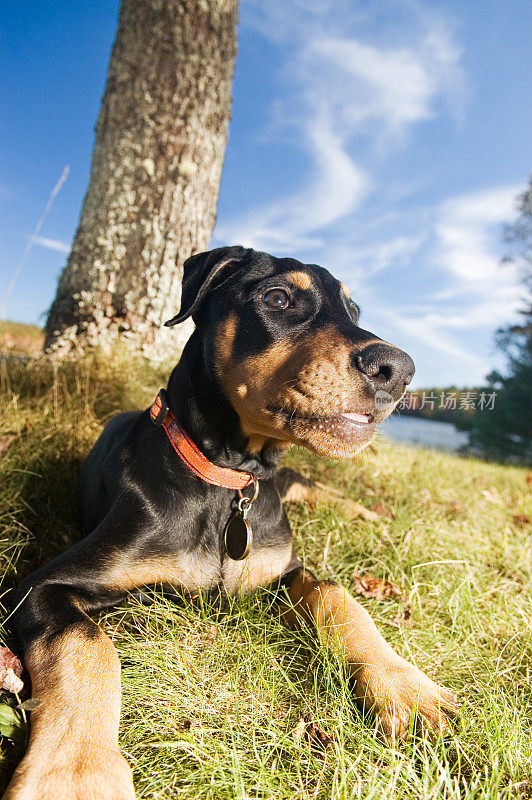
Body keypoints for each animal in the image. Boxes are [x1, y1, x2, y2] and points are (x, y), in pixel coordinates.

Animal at [4, 247, 456, 796]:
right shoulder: (45, 586)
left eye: (354, 311)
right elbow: (87, 649)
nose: (398, 370)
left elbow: (336, 595)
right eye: (277, 298)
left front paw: (408, 690)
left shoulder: (282, 567)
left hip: (296, 484)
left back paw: (383, 519)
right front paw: (74, 774)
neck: (229, 482)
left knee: (323, 492)